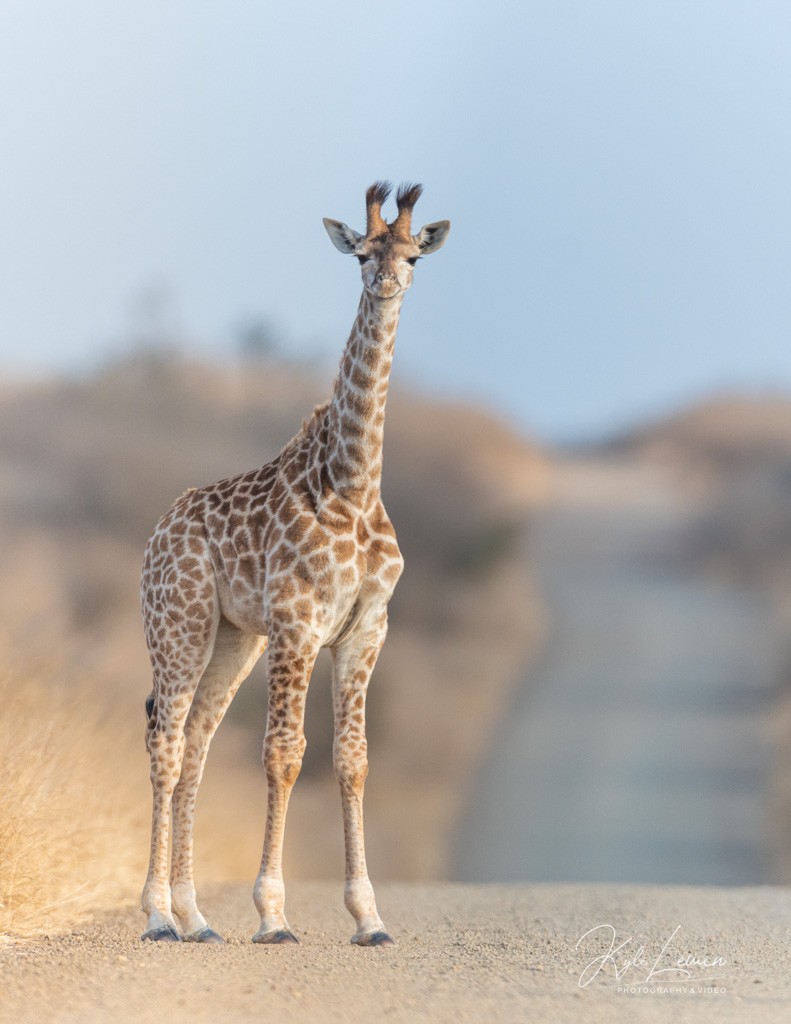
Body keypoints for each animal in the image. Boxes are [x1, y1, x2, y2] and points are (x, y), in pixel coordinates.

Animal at [140, 181, 450, 946]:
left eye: (413, 255)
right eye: (362, 253)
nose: (386, 281)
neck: (354, 485)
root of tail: (156, 534)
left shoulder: (366, 630)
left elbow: (353, 760)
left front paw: (369, 918)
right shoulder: (297, 623)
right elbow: (283, 753)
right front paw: (273, 914)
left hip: (231, 640)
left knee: (196, 747)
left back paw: (196, 918)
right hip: (179, 627)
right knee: (166, 745)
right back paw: (157, 914)